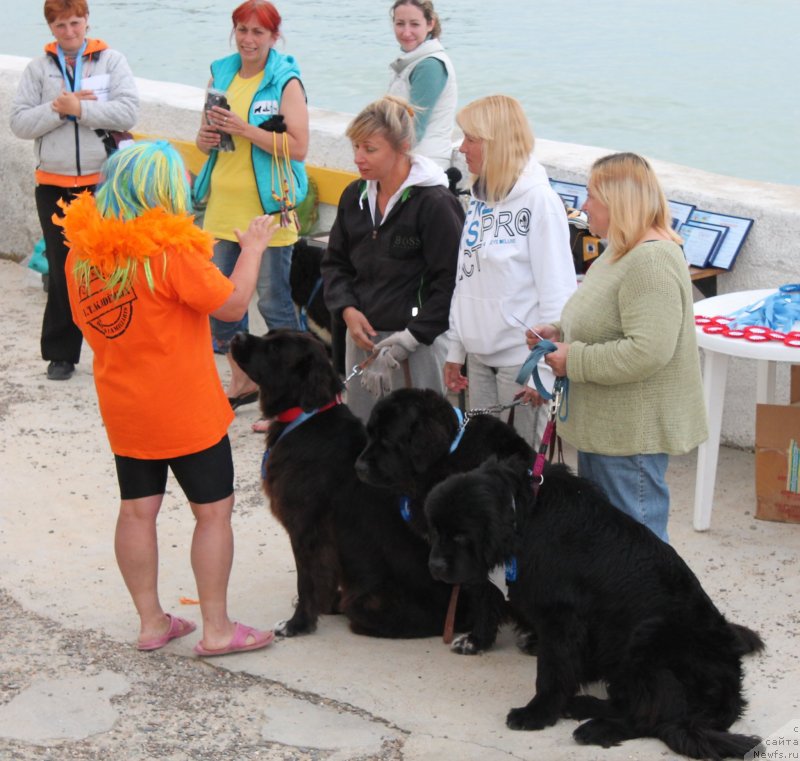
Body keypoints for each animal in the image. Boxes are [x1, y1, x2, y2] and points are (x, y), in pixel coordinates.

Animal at [228, 330, 476, 640]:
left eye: (275, 348)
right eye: (269, 335)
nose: (237, 335)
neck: (305, 417)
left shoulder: (305, 529)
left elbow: (306, 580)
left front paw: (298, 624)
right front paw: (319, 607)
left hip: (365, 603)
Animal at [354, 386, 532, 652]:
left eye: (387, 439)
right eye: (370, 434)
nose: (358, 467)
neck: (448, 453)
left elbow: (482, 594)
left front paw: (475, 638)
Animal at [424, 454, 764, 756]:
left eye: (461, 535)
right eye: (435, 530)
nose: (435, 567)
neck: (523, 515)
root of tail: (732, 690)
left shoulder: (561, 617)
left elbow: (551, 671)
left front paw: (537, 713)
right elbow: (488, 603)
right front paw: (476, 640)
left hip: (649, 639)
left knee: (651, 718)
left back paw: (595, 727)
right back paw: (581, 706)